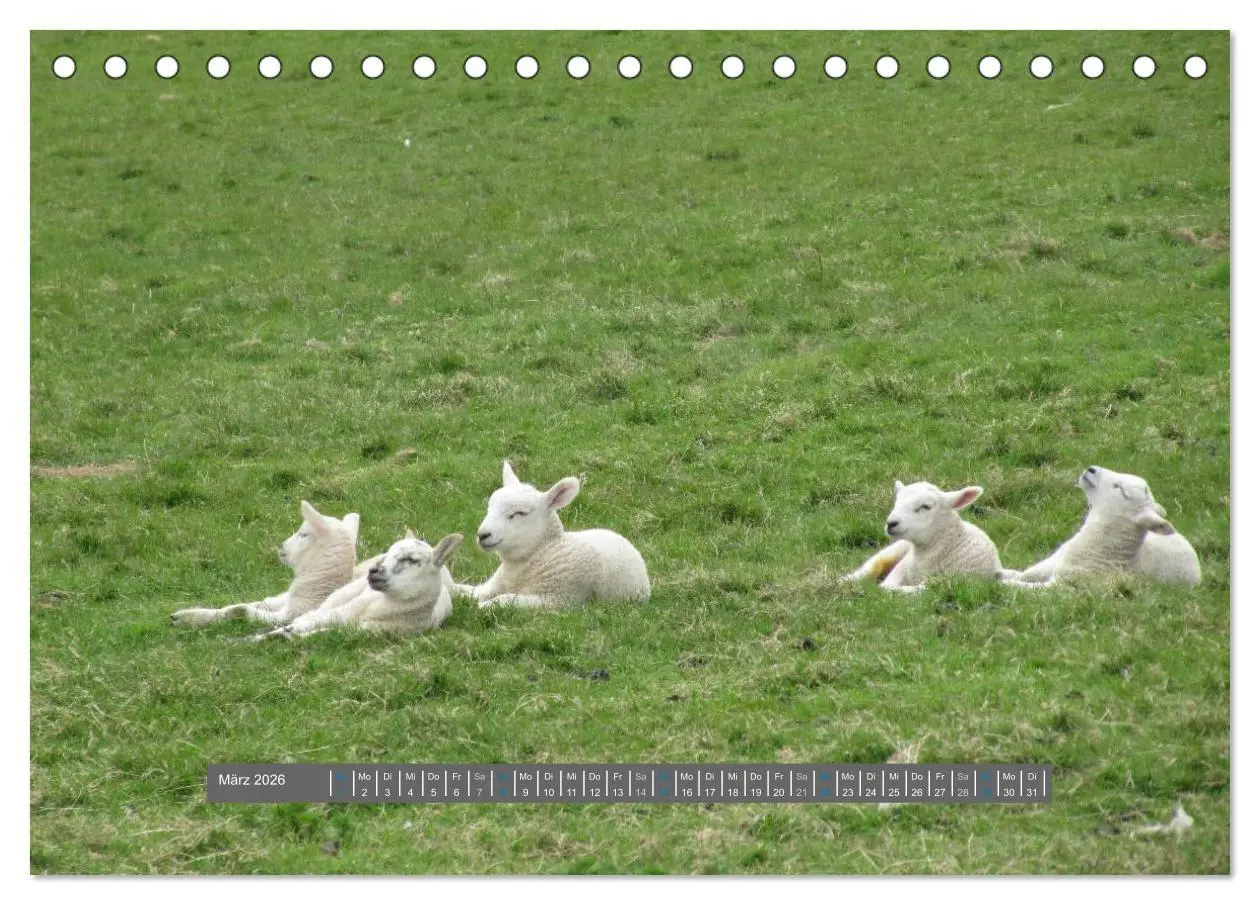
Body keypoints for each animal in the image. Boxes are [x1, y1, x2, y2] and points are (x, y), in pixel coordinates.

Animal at [170, 501, 358, 628]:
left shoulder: (290, 616)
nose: (281, 546)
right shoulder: (281, 602)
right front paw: (187, 615)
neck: (319, 587)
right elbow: (249, 604)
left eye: (304, 534)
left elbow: (246, 611)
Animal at [256, 531, 463, 639]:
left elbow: (318, 632)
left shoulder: (360, 631)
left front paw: (289, 637)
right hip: (343, 595)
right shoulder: (343, 611)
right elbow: (304, 623)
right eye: (388, 554)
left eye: (411, 559)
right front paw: (261, 636)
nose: (374, 571)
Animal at [451, 461, 651, 609]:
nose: (483, 535)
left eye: (520, 513)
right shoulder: (491, 585)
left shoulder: (556, 599)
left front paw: (481, 607)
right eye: (489, 507)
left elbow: (504, 600)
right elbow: (465, 590)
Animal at [1004, 465, 1201, 587]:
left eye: (1120, 489)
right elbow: (1023, 576)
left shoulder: (1065, 587)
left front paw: (1004, 585)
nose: (1092, 469)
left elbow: (1027, 589)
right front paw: (1002, 576)